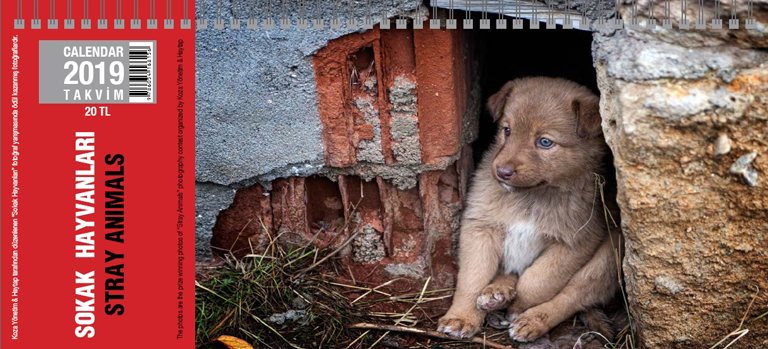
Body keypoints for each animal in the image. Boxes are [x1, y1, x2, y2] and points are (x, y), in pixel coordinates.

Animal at [436, 77, 620, 342]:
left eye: (545, 142)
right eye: (507, 131)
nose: (502, 172)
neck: (530, 198)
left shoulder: (576, 242)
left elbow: (537, 281)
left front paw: (518, 307)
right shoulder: (480, 227)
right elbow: (472, 278)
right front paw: (461, 317)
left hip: (609, 255)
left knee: (574, 295)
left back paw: (531, 320)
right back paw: (496, 293)